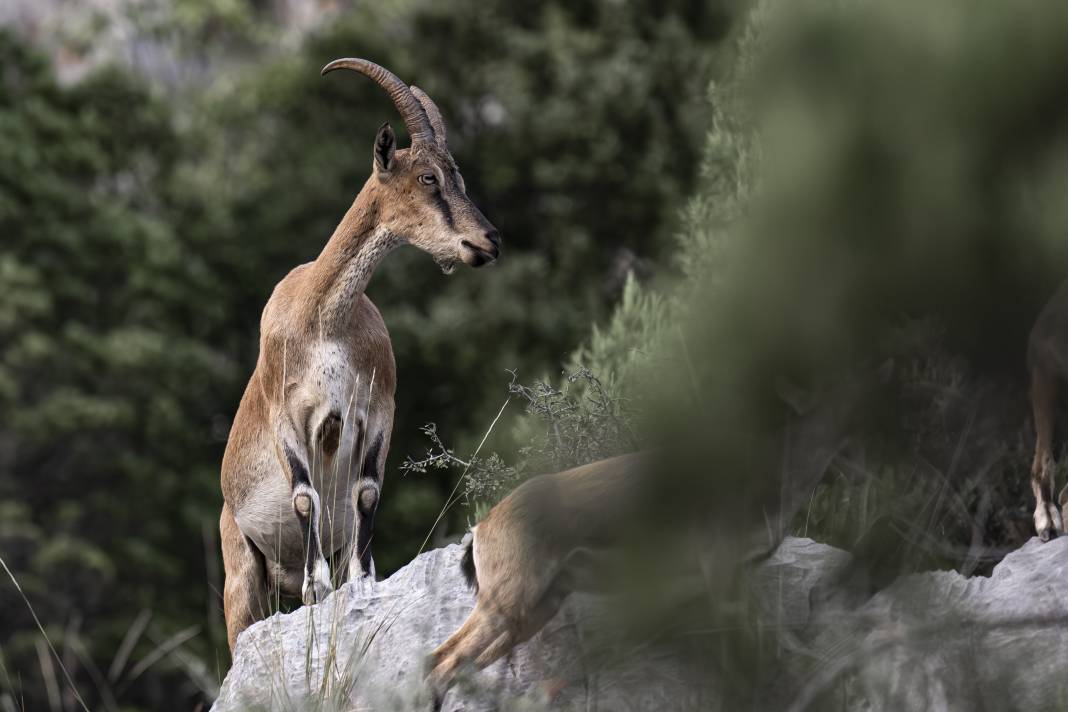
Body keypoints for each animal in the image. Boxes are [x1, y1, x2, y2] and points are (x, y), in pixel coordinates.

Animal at [220, 59, 499, 653]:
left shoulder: (376, 411)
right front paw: (318, 586)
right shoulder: (289, 416)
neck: (323, 317)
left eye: (457, 176)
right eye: (428, 177)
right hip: (241, 575)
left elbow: (367, 493)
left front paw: (361, 580)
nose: (488, 242)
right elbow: (305, 497)